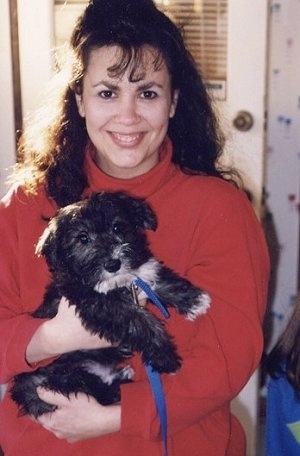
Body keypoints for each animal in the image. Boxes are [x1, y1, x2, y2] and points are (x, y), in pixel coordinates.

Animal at [11, 191, 209, 418]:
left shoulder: (141, 274)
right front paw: (166, 358)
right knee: (98, 393)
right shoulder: (101, 306)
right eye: (83, 238)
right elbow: (143, 323)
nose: (113, 264)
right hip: (65, 376)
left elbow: (162, 282)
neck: (119, 282)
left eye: (117, 227)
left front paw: (194, 300)